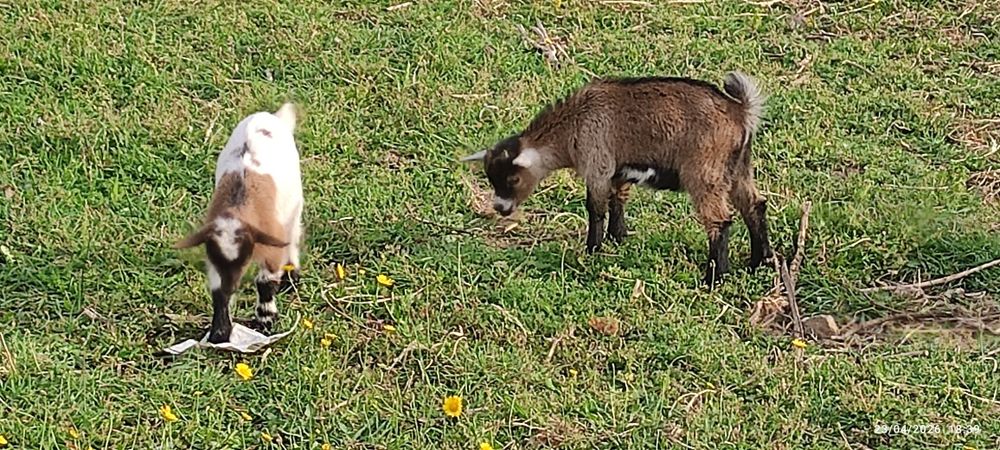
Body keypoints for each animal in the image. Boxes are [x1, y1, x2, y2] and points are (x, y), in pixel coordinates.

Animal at [176, 103, 304, 343]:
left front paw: (265, 319)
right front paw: (219, 333)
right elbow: (217, 290)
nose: (232, 286)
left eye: (244, 258)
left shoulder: (271, 242)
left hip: (294, 202)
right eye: (217, 258)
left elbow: (265, 282)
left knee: (293, 234)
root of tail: (268, 116)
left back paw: (291, 276)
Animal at [462, 72, 772, 285]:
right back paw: (759, 262)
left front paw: (593, 249)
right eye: (491, 178)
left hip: (705, 172)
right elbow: (618, 199)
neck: (574, 123)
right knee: (754, 205)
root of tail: (740, 111)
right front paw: (617, 237)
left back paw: (714, 277)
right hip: (738, 168)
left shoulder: (597, 163)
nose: (500, 208)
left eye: (512, 179)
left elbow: (595, 207)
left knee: (720, 220)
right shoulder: (619, 170)